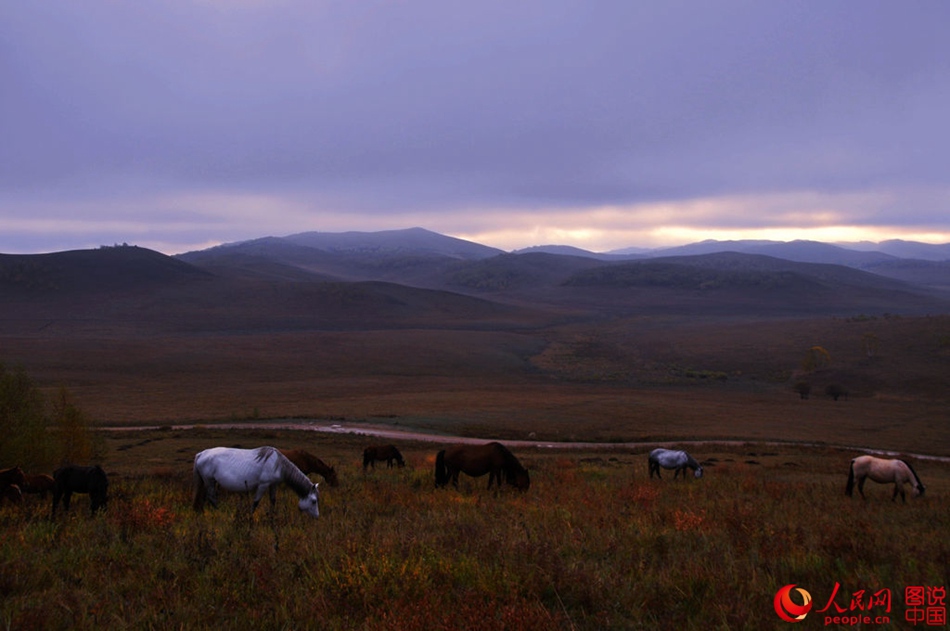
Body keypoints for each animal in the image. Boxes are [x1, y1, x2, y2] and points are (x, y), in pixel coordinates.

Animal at [192, 444, 320, 520]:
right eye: (314, 501)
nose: (317, 517)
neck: (277, 464)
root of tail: (201, 454)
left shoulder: (273, 484)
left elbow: (273, 500)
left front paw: (272, 516)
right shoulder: (263, 484)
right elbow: (256, 502)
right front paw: (250, 517)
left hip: (208, 481)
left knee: (203, 497)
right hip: (209, 481)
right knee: (211, 497)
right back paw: (220, 513)